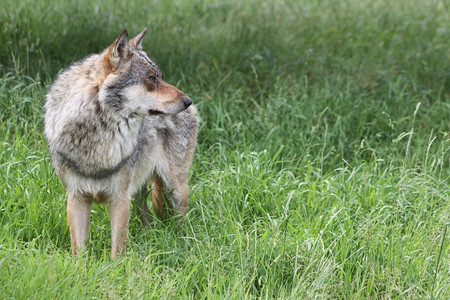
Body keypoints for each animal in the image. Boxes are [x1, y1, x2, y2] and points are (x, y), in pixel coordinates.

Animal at [44, 28, 199, 258]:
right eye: (152, 78)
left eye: (160, 77)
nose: (187, 100)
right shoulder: (76, 198)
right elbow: (79, 252)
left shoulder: (120, 199)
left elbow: (117, 250)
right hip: (141, 192)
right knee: (147, 217)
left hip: (176, 187)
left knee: (181, 220)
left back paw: (181, 243)